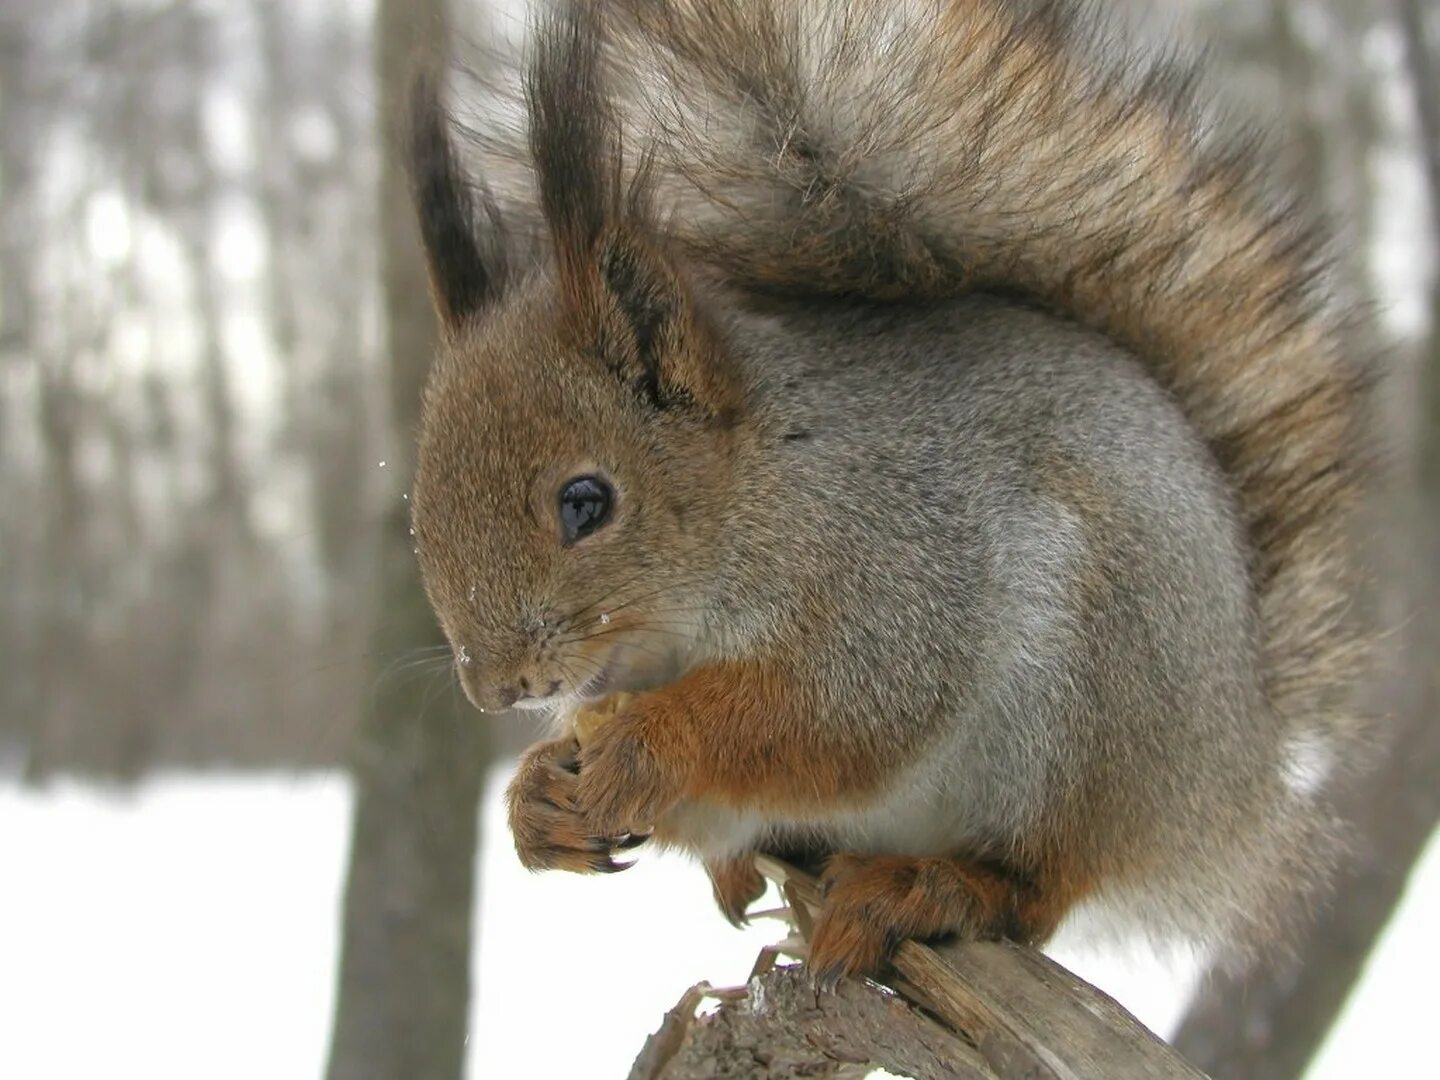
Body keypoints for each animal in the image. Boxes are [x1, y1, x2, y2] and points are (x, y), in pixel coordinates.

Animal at [403, 0, 1370, 979]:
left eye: (586, 502)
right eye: (419, 513)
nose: (495, 689)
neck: (760, 489)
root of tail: (1235, 776)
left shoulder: (896, 575)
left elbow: (838, 714)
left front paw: (646, 747)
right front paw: (535, 797)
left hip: (1091, 703)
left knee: (1042, 885)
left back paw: (928, 891)